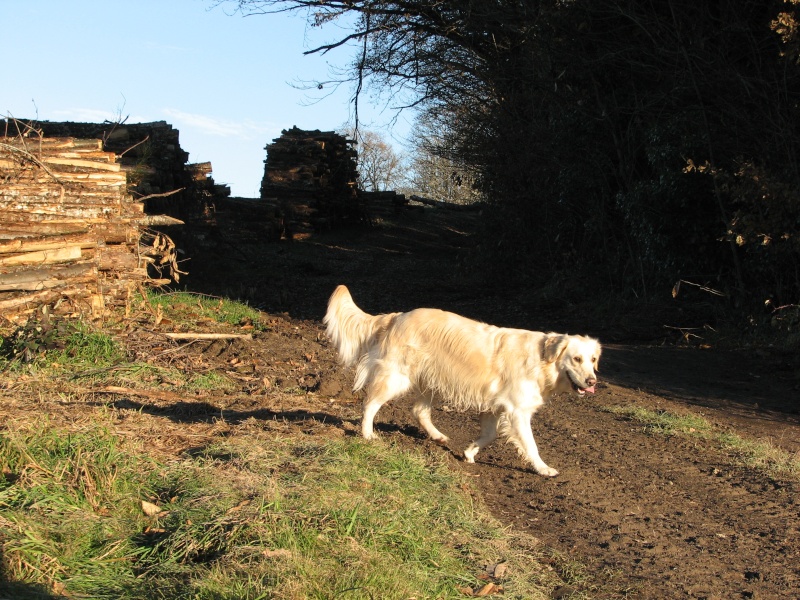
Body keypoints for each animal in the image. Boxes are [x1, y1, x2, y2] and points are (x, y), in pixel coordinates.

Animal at [324, 286, 600, 478]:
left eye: (593, 359)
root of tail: (397, 316)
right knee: (369, 403)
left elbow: (489, 436)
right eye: (576, 359)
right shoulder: (518, 411)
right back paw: (368, 434)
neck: (543, 359)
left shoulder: (494, 408)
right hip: (397, 378)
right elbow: (531, 445)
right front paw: (543, 469)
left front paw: (469, 452)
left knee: (418, 410)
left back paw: (437, 436)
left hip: (430, 381)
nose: (592, 381)